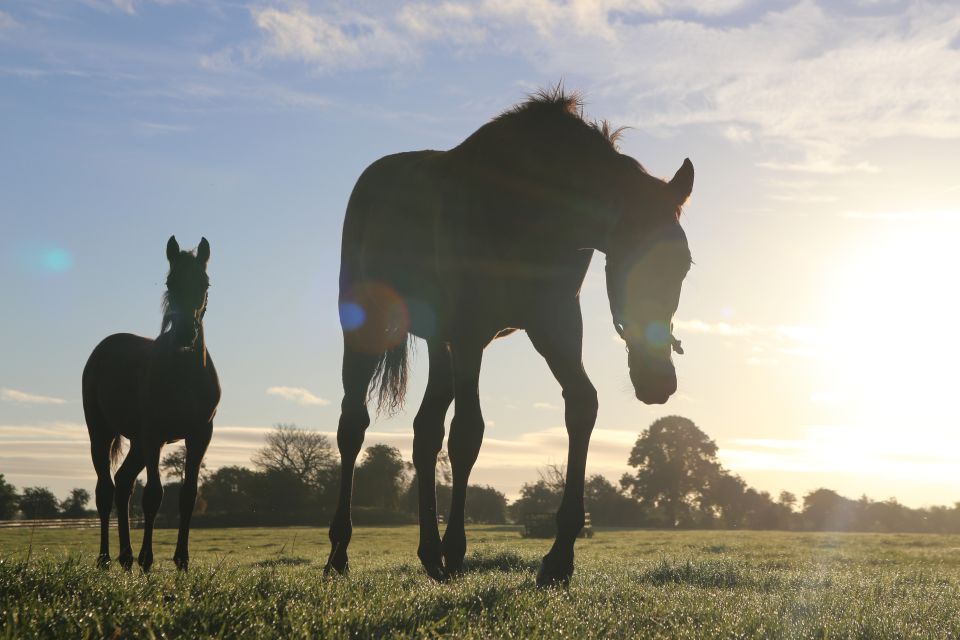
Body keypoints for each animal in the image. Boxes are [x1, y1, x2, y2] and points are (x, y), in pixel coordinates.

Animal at [82, 235, 219, 568]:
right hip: (102, 432)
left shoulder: (200, 435)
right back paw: (106, 559)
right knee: (105, 489)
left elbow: (188, 496)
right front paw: (147, 560)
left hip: (138, 443)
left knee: (123, 483)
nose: (185, 333)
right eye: (170, 282)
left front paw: (181, 560)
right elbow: (154, 496)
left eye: (205, 282)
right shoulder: (155, 434)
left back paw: (126, 557)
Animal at [326, 89, 692, 584]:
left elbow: (582, 405)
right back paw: (340, 554)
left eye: (684, 265)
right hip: (369, 328)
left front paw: (558, 558)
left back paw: (429, 554)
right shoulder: (470, 332)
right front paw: (458, 550)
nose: (657, 382)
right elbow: (467, 434)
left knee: (425, 434)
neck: (529, 212)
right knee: (353, 427)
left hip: (440, 343)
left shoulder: (555, 322)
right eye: (627, 261)